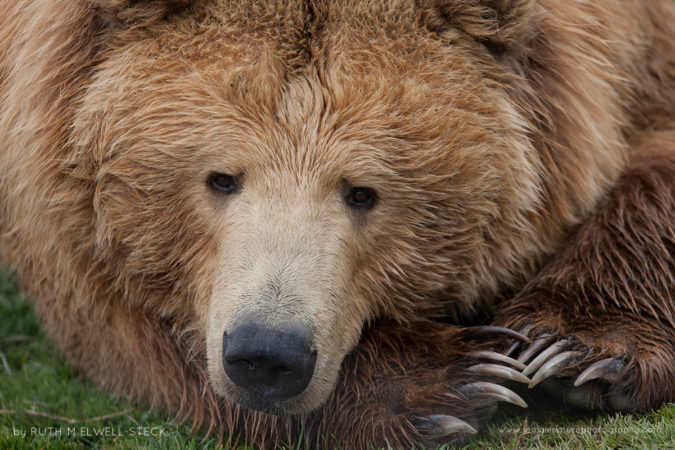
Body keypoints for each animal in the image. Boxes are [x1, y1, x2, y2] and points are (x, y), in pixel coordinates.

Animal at [0, 0, 673, 447]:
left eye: (362, 191)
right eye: (221, 178)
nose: (267, 353)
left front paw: (575, 350)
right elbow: (120, 315)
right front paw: (446, 380)